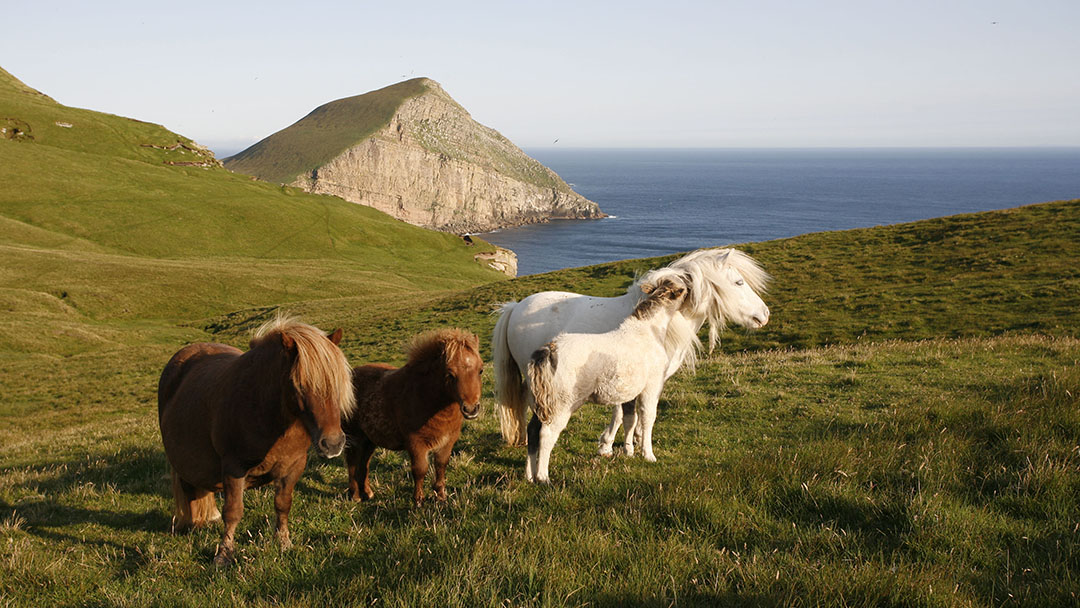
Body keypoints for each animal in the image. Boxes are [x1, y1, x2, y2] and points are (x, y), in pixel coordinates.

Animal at [156, 317, 354, 570]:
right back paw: (193, 524)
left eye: (337, 383)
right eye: (299, 386)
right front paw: (224, 554)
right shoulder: (234, 468)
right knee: (189, 489)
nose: (333, 444)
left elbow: (283, 504)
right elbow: (233, 512)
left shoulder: (294, 467)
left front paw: (283, 543)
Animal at [343, 330, 483, 507]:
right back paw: (355, 495)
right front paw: (418, 501)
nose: (471, 409)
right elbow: (420, 469)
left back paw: (368, 493)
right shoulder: (416, 443)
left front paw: (441, 496)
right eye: (450, 374)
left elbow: (441, 465)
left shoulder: (447, 442)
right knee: (352, 462)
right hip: (354, 437)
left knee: (364, 464)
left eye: (480, 370)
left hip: (369, 439)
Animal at [494, 247, 773, 462]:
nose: (765, 314)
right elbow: (628, 413)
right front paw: (613, 446)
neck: (657, 322)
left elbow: (629, 413)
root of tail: (516, 307)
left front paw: (627, 444)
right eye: (738, 283)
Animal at [527, 278, 686, 483]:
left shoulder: (630, 392)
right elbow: (648, 417)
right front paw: (649, 455)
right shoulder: (652, 386)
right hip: (561, 404)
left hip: (540, 402)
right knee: (546, 434)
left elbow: (629, 419)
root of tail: (550, 349)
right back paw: (542, 477)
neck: (648, 331)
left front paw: (629, 452)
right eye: (681, 290)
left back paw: (529, 475)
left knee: (531, 430)